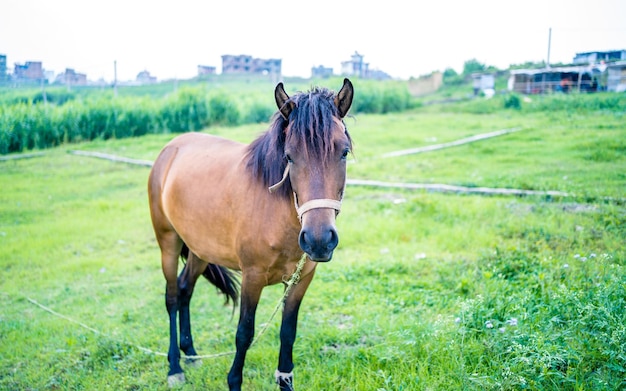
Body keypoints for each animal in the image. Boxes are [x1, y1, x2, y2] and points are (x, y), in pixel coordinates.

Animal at [146, 78, 352, 390]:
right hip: (168, 242)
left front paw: (285, 381)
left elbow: (288, 332)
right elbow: (244, 333)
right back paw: (174, 366)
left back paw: (190, 353)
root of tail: (170, 149)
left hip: (200, 250)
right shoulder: (252, 278)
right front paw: (233, 380)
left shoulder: (301, 279)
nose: (319, 240)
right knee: (171, 296)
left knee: (184, 289)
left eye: (344, 152)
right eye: (289, 156)